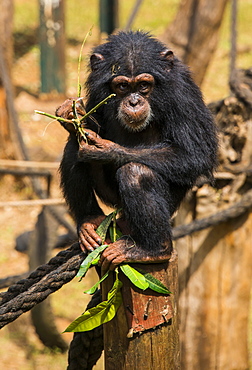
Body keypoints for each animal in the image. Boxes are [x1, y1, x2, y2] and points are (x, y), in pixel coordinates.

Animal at [56, 31, 218, 268]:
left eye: (143, 85)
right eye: (123, 86)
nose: (133, 102)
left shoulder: (183, 94)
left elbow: (196, 153)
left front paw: (107, 151)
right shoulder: (97, 91)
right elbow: (90, 127)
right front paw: (72, 115)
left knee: (136, 172)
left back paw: (154, 249)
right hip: (113, 201)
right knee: (72, 149)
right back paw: (90, 221)